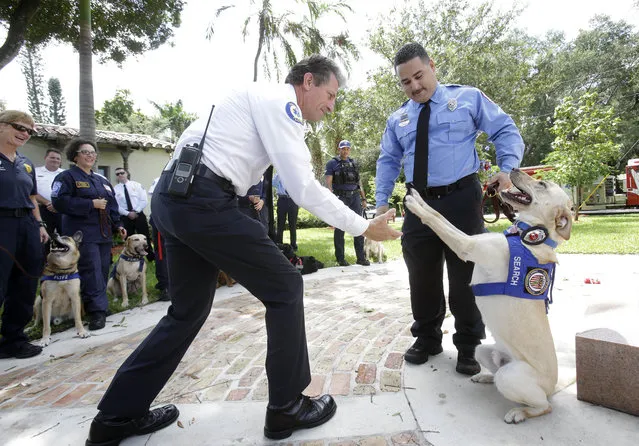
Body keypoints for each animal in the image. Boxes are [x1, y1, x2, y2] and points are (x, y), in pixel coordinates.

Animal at [404, 169, 576, 424]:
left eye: (542, 184)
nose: (513, 170)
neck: (527, 235)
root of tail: (552, 387)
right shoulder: (472, 240)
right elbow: (442, 218)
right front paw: (417, 197)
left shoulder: (467, 244)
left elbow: (437, 218)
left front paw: (416, 204)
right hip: (482, 350)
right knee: (494, 369)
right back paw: (486, 377)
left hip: (512, 377)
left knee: (543, 406)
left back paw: (519, 413)